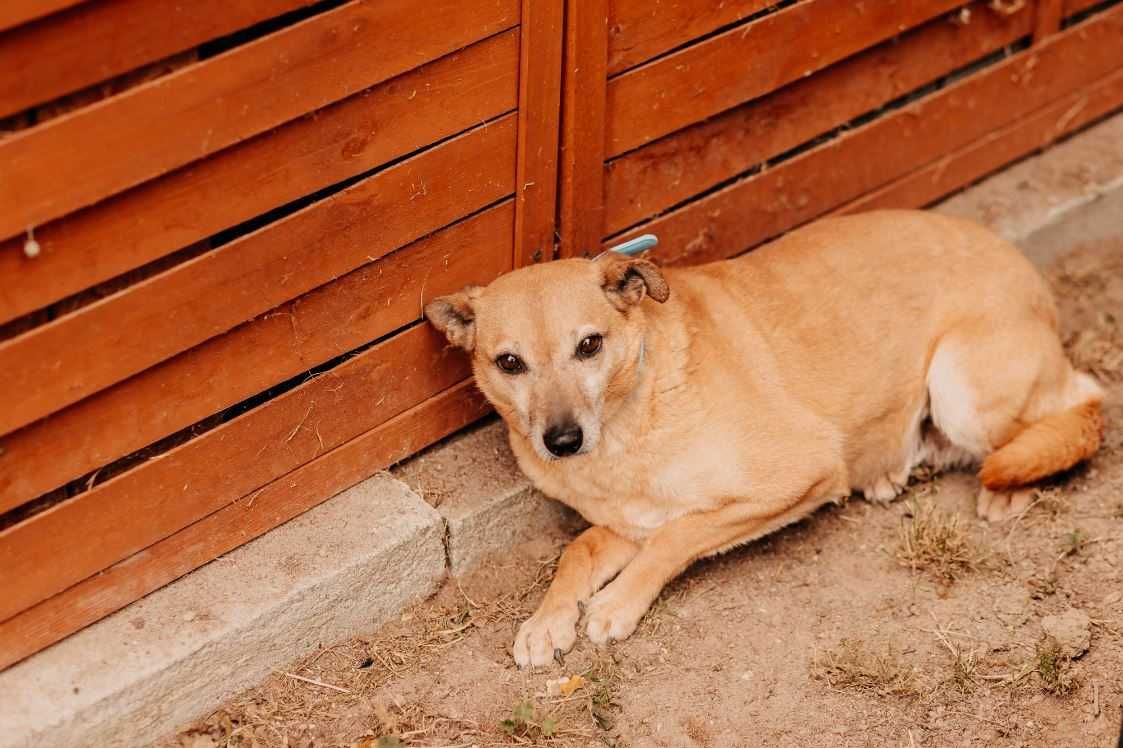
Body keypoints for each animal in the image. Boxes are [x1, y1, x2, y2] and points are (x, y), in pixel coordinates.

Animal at [424, 207, 1100, 664]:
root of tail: (1020, 264)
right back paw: (894, 467)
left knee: (1082, 403)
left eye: (589, 345)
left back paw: (1014, 480)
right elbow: (580, 551)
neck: (634, 414)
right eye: (510, 362)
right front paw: (547, 619)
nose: (561, 441)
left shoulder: (799, 473)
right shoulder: (625, 521)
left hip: (964, 389)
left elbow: (677, 535)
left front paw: (616, 602)